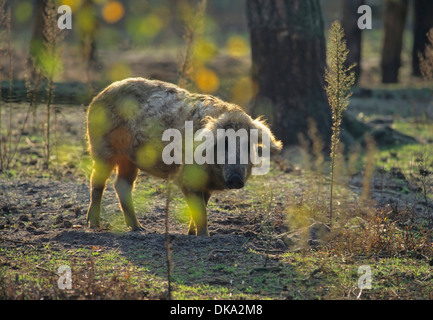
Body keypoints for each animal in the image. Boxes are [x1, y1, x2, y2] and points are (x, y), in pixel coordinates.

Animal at [85, 77, 280, 235]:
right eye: (222, 144)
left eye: (248, 145)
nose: (235, 179)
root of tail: (99, 95)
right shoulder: (187, 179)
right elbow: (201, 212)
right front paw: (204, 236)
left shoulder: (206, 186)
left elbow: (202, 207)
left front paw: (191, 234)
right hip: (101, 148)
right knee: (97, 182)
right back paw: (94, 225)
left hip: (130, 160)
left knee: (121, 185)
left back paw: (139, 229)